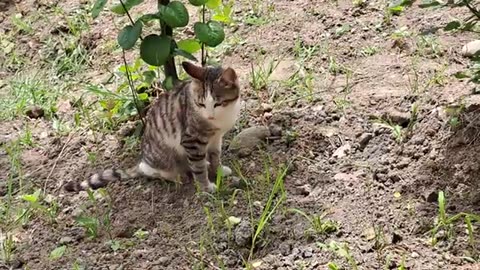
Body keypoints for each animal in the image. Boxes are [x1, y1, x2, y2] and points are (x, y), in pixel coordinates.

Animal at [64, 61, 240, 193]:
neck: (220, 119)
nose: (210, 115)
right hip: (162, 158)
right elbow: (198, 167)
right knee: (155, 171)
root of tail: (142, 160)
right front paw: (205, 187)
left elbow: (215, 156)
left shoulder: (216, 138)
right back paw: (178, 176)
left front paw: (218, 171)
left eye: (217, 103)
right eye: (201, 104)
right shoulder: (192, 140)